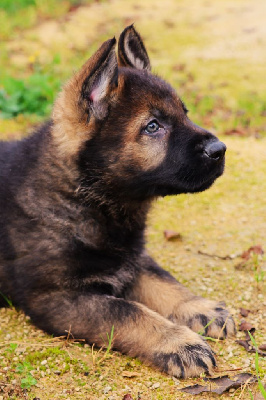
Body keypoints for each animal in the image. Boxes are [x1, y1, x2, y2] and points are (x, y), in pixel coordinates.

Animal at [0, 25, 234, 378]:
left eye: (185, 113)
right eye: (153, 126)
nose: (220, 150)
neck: (86, 199)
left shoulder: (132, 259)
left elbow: (164, 281)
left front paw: (201, 307)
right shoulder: (56, 296)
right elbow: (128, 312)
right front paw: (180, 343)